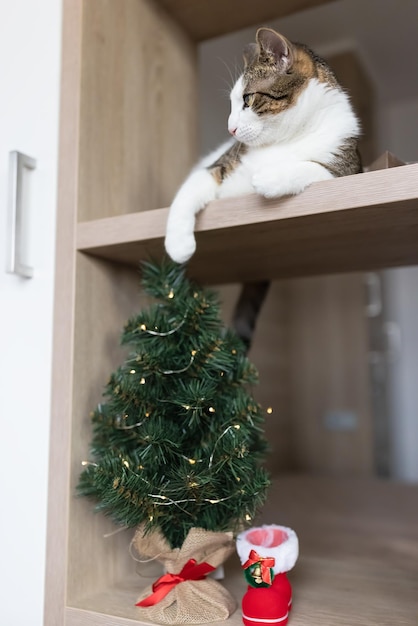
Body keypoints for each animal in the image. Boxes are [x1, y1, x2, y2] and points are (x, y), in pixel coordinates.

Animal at [165, 26, 360, 348]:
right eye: (232, 103)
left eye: (247, 99)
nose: (230, 128)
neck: (284, 139)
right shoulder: (217, 166)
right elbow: (186, 194)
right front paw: (179, 246)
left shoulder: (351, 170)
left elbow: (314, 168)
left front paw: (269, 179)